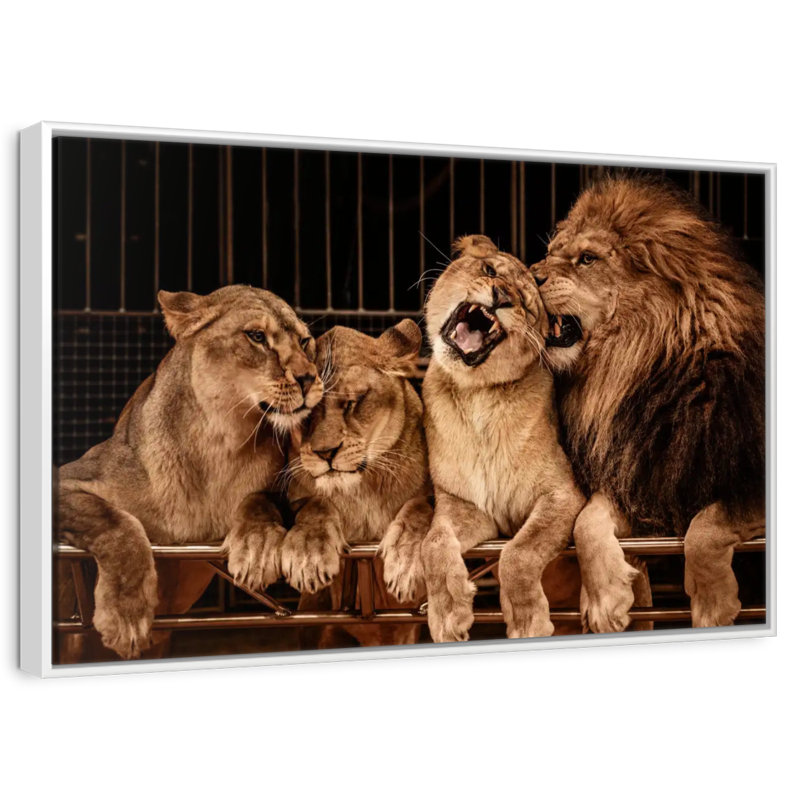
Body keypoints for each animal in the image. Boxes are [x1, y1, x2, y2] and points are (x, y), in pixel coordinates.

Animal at [56, 285, 323, 659]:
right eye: (257, 336)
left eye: (304, 341)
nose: (309, 378)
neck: (220, 441)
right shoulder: (68, 478)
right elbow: (115, 522)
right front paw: (126, 615)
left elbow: (261, 500)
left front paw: (256, 547)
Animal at [282, 321, 432, 647]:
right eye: (306, 415)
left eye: (352, 403)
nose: (325, 453)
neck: (361, 489)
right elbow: (314, 505)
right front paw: (309, 555)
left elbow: (421, 508)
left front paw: (405, 562)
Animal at [420, 234, 587, 642]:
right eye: (490, 270)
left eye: (526, 304)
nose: (500, 297)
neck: (477, 394)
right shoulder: (464, 505)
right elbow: (433, 544)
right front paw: (448, 613)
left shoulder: (562, 494)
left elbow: (520, 551)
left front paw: (528, 621)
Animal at [533, 175, 765, 631]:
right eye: (550, 252)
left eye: (587, 259)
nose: (527, 275)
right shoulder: (640, 476)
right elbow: (587, 520)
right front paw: (605, 599)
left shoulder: (747, 479)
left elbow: (707, 524)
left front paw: (713, 604)